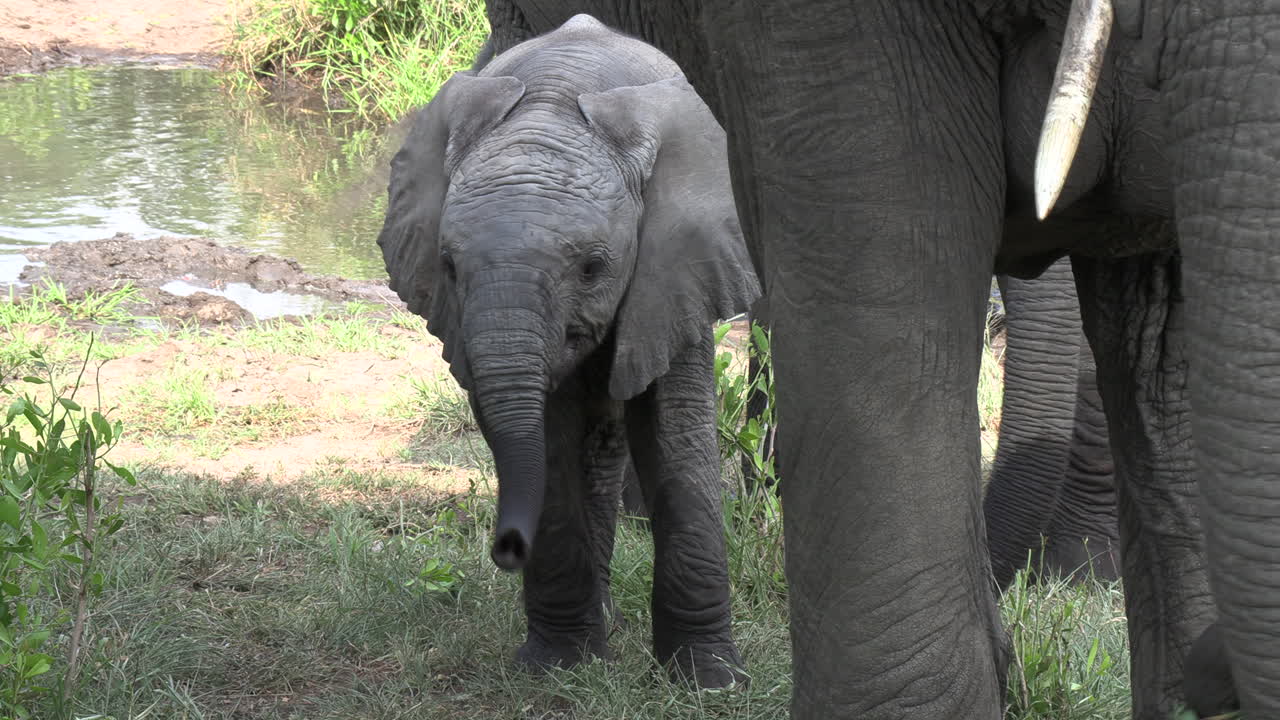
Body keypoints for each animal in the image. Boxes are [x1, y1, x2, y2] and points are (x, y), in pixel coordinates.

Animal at [377, 15, 758, 687]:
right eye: (448, 267)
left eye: (592, 268)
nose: (506, 547)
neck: (556, 103)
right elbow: (550, 441)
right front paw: (557, 667)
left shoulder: (679, 265)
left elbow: (675, 435)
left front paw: (710, 681)